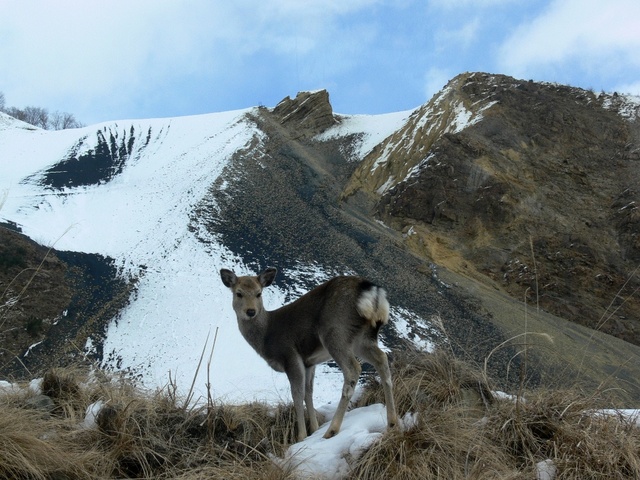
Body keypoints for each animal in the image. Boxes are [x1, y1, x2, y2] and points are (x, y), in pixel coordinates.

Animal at [222, 268, 398, 440]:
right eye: (238, 293)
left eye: (259, 293)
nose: (250, 311)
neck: (266, 337)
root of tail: (372, 291)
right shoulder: (309, 363)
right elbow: (308, 392)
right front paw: (313, 429)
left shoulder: (290, 355)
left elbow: (297, 395)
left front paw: (301, 436)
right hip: (363, 339)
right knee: (382, 359)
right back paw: (392, 422)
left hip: (335, 333)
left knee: (353, 369)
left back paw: (332, 430)